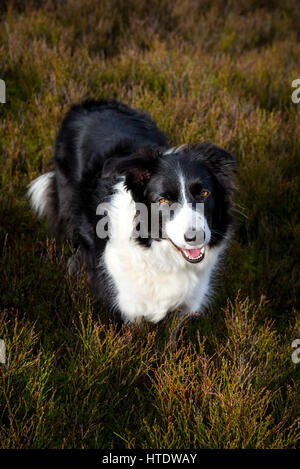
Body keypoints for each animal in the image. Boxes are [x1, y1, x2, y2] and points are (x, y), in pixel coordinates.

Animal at [29, 98, 238, 324]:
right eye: (163, 200)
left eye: (204, 193)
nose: (196, 237)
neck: (159, 255)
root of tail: (89, 103)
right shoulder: (125, 309)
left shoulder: (184, 309)